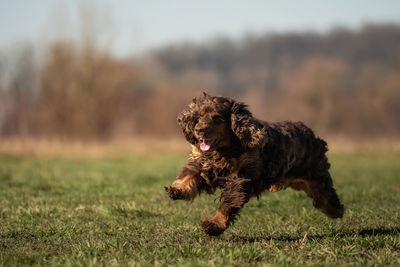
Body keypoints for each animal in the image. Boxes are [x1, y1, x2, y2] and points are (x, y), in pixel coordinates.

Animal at [165, 92, 344, 237]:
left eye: (217, 119)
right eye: (199, 117)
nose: (198, 129)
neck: (224, 151)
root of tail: (312, 134)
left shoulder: (239, 179)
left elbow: (227, 204)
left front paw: (214, 225)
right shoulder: (205, 167)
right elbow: (191, 177)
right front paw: (178, 190)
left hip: (316, 175)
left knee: (325, 195)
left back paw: (337, 211)